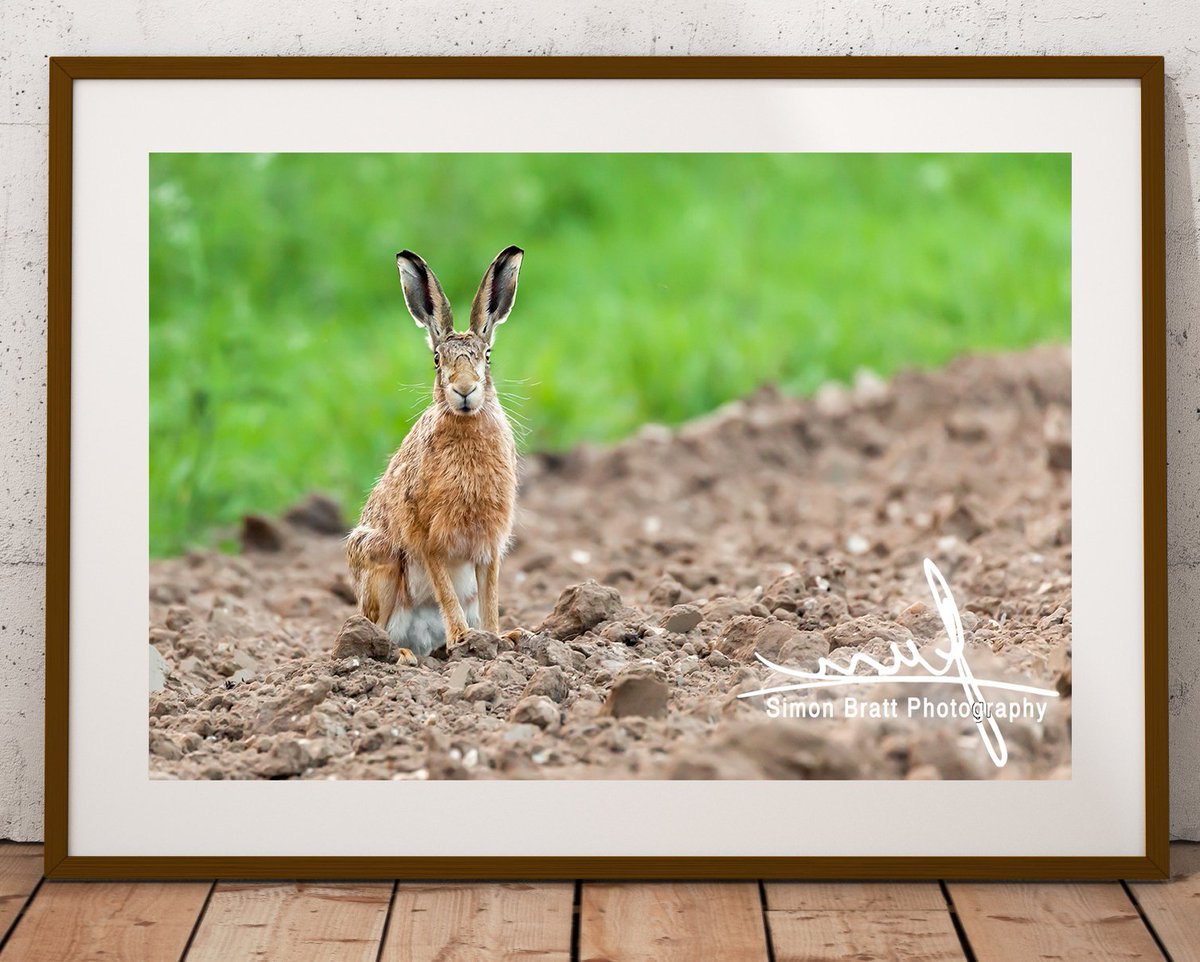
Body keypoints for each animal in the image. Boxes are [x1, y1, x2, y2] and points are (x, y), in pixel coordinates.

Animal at [346, 246, 523, 663]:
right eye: (438, 361)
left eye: (487, 357)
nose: (465, 390)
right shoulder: (429, 539)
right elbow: (444, 587)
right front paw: (464, 638)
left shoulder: (489, 544)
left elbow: (491, 594)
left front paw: (499, 637)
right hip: (381, 563)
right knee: (376, 628)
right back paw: (402, 654)